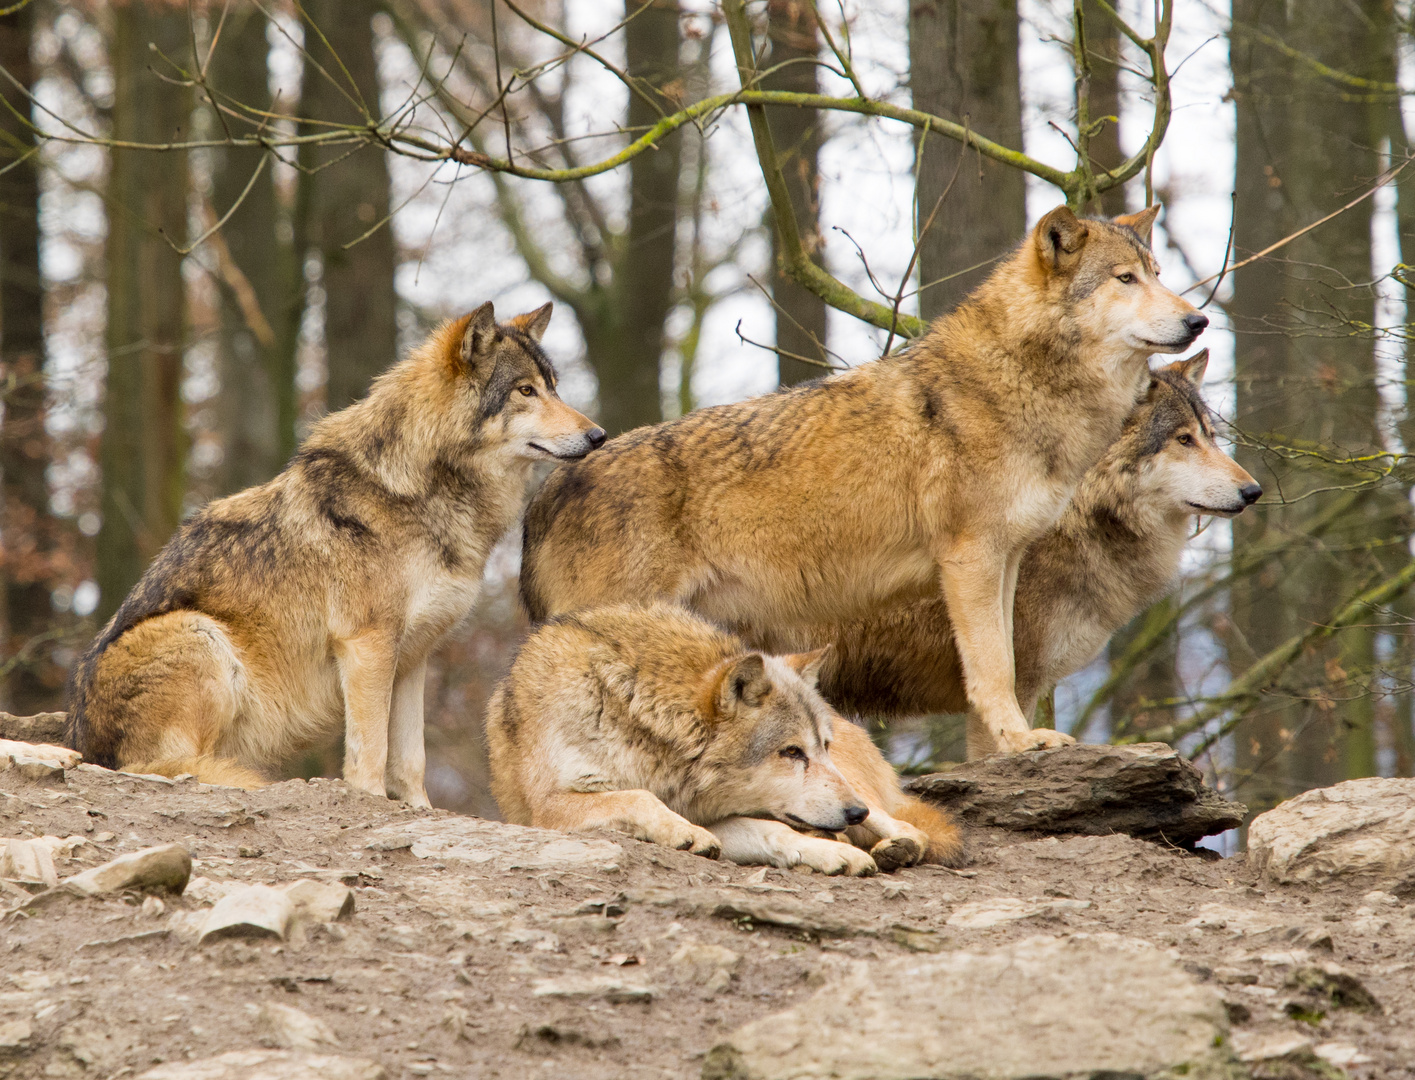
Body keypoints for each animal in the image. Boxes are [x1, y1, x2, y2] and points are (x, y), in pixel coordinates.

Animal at [68, 301, 599, 803]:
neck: (420, 491)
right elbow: (371, 751)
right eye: (525, 391)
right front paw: (370, 800)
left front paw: (419, 809)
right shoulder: (368, 644)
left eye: (553, 387)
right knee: (171, 767)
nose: (597, 435)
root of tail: (79, 740)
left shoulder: (414, 656)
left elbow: (411, 759)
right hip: (201, 635)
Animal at [486, 602, 962, 871]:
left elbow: (772, 831)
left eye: (820, 747)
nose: (854, 812)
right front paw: (683, 833)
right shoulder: (549, 809)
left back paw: (894, 845)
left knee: (909, 826)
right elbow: (639, 797)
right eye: (791, 751)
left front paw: (836, 854)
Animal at [520, 206, 1205, 758]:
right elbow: (993, 671)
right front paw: (1021, 742)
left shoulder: (1006, 559)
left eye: (1158, 272)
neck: (1020, 380)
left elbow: (1004, 666)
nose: (1198, 320)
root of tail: (549, 490)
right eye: (1126, 279)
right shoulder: (971, 558)